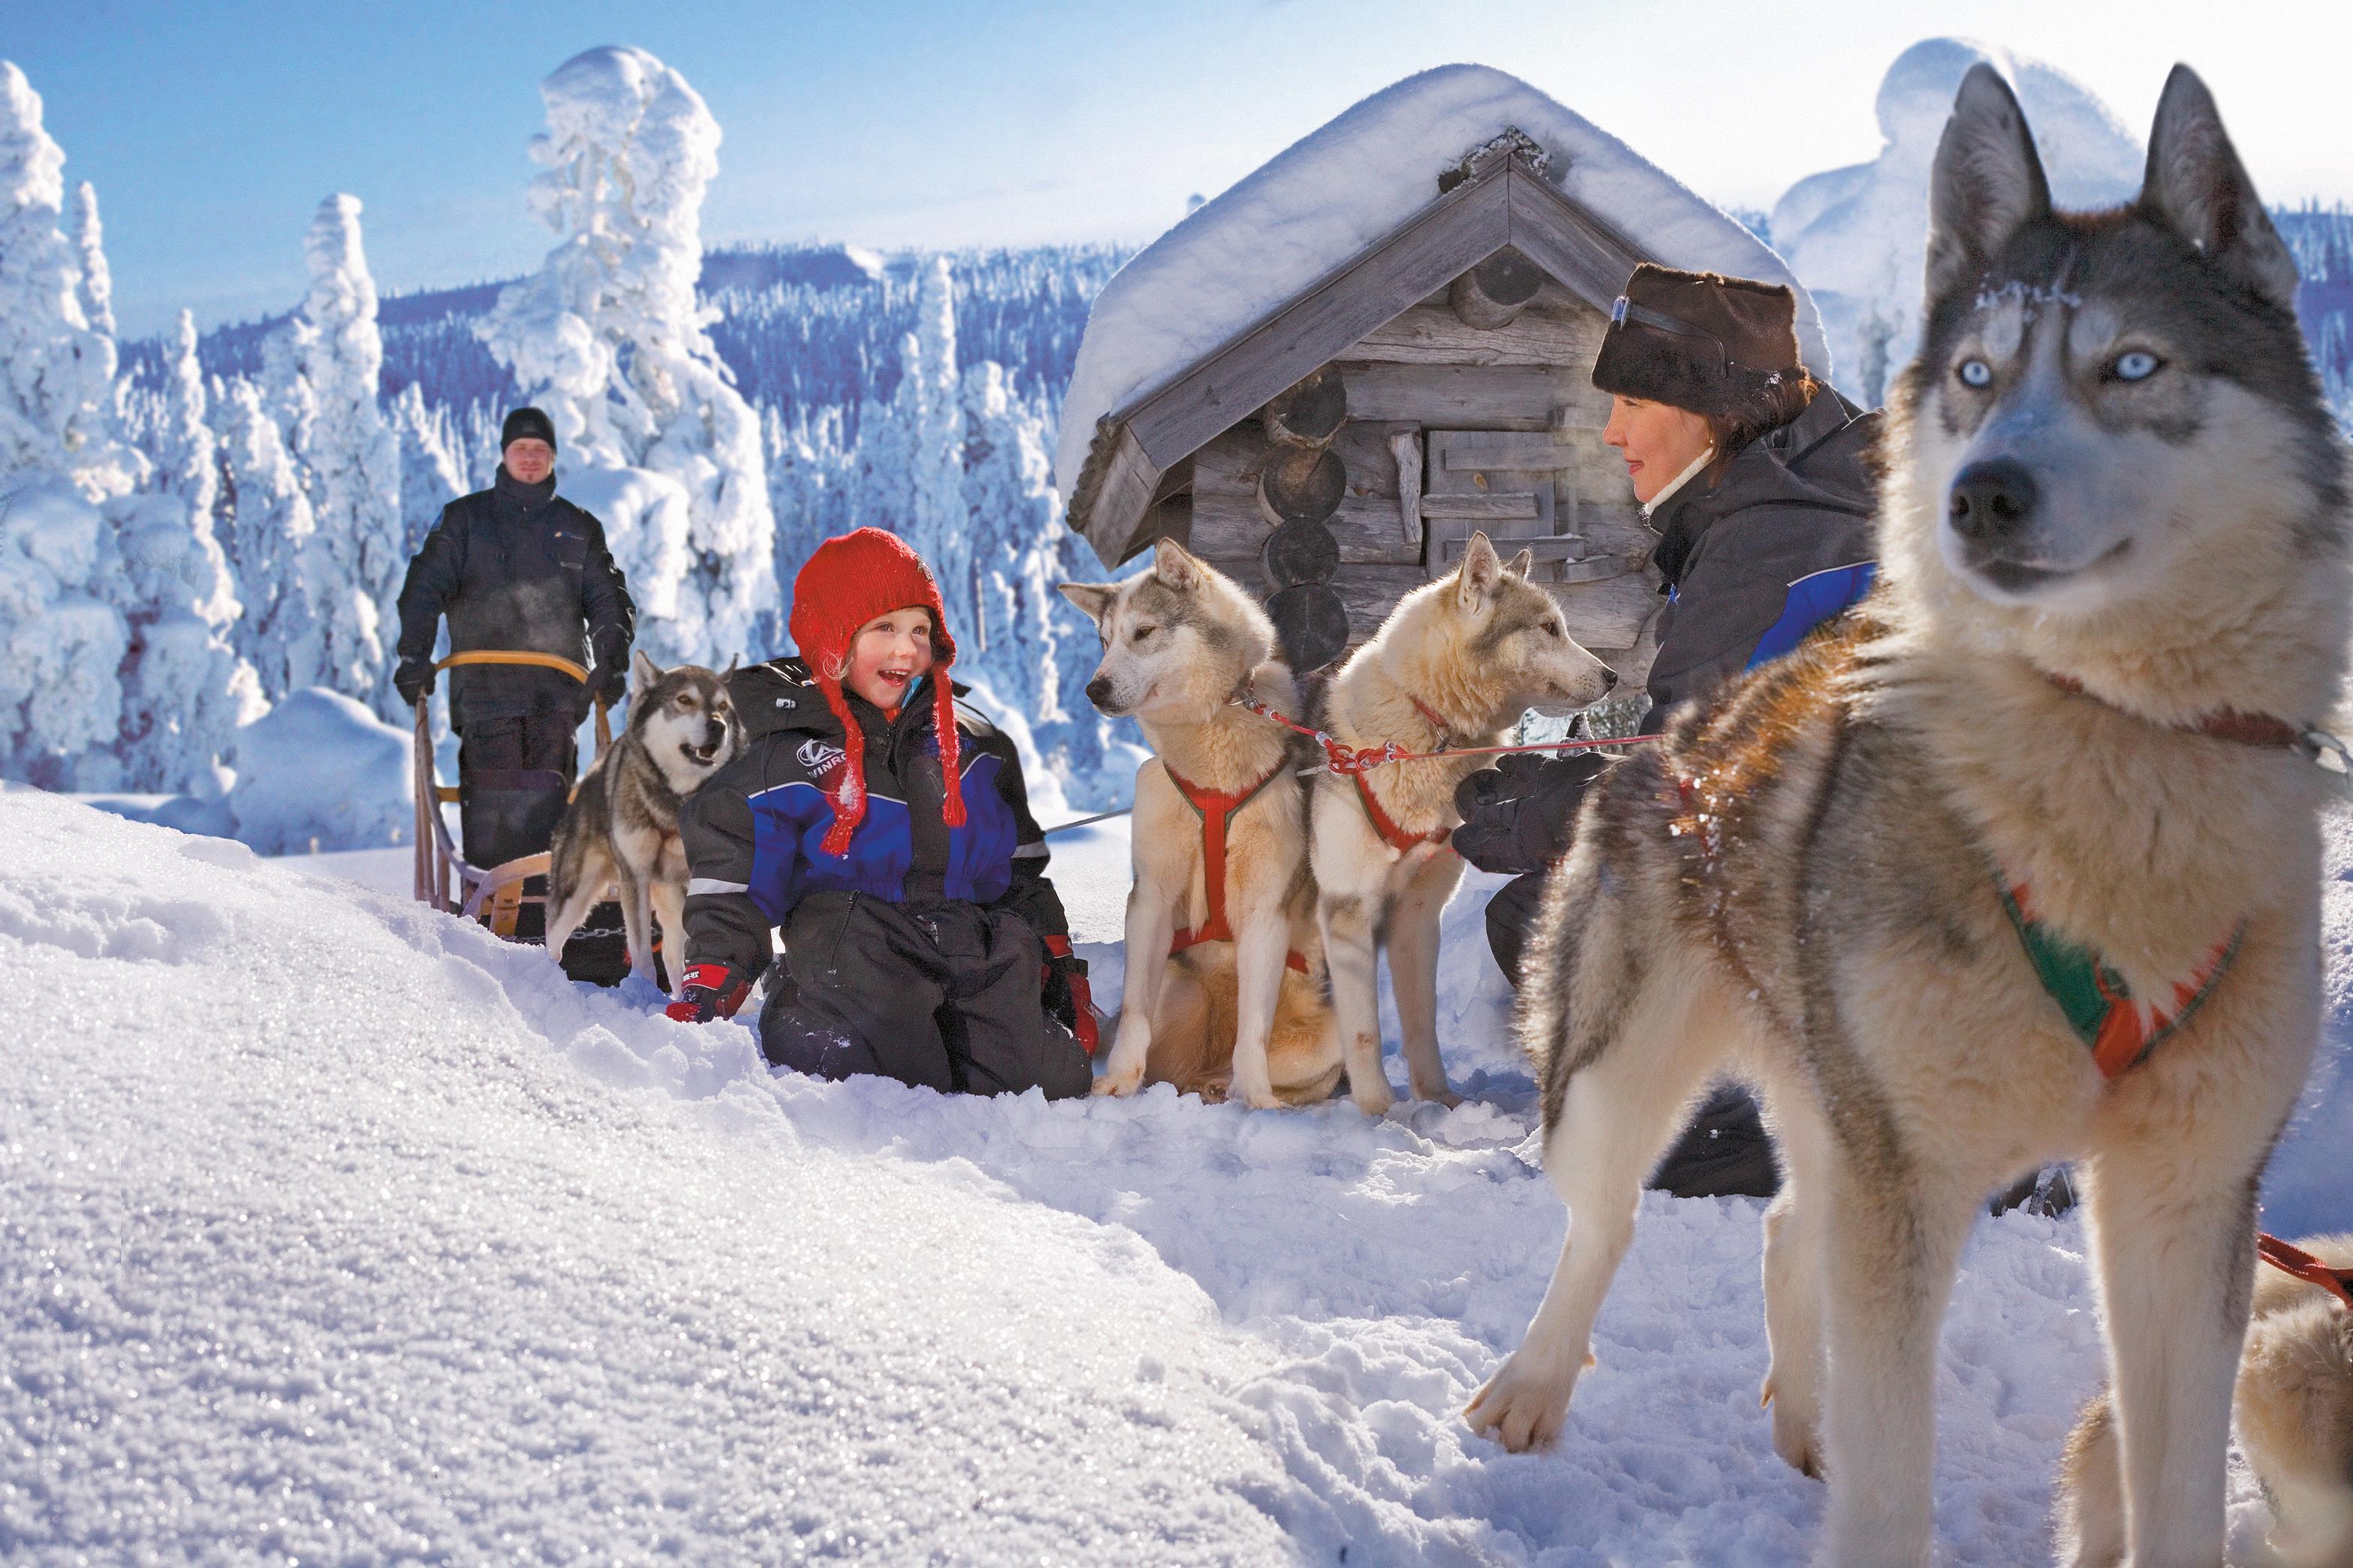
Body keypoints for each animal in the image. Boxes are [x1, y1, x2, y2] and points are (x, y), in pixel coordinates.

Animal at [546, 649, 739, 992]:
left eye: (723, 706)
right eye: (685, 699)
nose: (717, 726)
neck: (673, 803)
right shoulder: (634, 876)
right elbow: (642, 956)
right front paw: (643, 992)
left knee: (674, 954)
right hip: (574, 895)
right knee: (553, 941)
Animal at [1063, 545, 1345, 1109]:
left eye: (1144, 632)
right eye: (1105, 641)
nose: (1094, 688)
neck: (1211, 767)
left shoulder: (1265, 910)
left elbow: (1253, 1033)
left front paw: (1257, 1101)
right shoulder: (1149, 899)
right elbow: (1135, 1013)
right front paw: (1118, 1083)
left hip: (1331, 1036)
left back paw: (1231, 1088)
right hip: (1177, 987)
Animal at [1308, 536, 1619, 1114]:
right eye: (1548, 628)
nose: (1614, 677)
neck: (1427, 727)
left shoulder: (1417, 915)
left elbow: (1421, 1021)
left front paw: (1438, 1100)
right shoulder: (1348, 912)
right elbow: (1363, 1032)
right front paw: (1379, 1113)